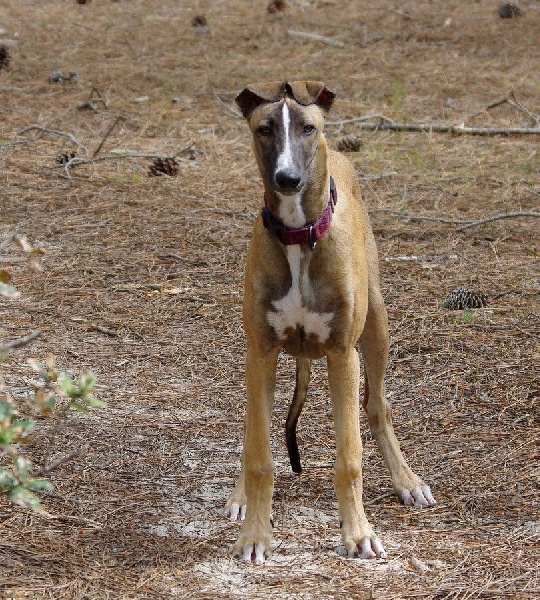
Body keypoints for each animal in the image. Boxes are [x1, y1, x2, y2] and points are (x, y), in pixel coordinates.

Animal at [226, 82, 436, 564]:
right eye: (264, 129)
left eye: (308, 128)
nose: (288, 179)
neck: (298, 237)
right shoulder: (261, 352)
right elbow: (259, 455)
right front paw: (255, 535)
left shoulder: (343, 354)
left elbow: (350, 458)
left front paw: (358, 533)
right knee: (252, 432)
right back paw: (240, 494)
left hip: (376, 327)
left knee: (378, 407)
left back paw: (407, 481)